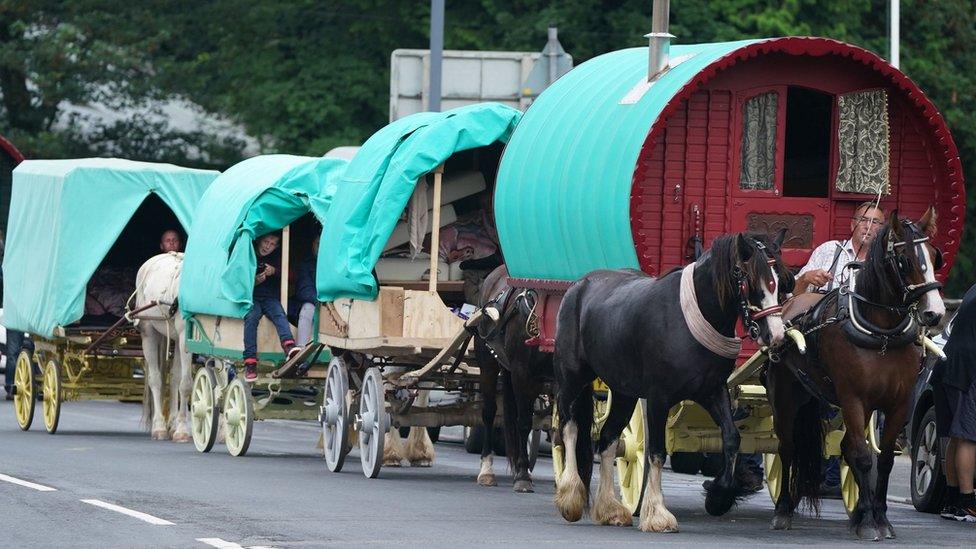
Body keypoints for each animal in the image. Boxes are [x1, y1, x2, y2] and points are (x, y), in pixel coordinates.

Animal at [134, 253, 193, 440]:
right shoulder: (185, 339)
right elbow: (186, 385)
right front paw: (182, 431)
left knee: (174, 378)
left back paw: (172, 424)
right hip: (149, 332)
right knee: (156, 379)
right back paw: (159, 427)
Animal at [470, 266, 552, 492]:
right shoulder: (522, 373)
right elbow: (523, 422)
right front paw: (523, 475)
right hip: (488, 365)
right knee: (489, 412)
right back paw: (487, 469)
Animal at [548, 229, 792, 528]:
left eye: (782, 281)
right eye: (748, 277)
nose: (776, 335)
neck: (688, 319)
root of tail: (580, 285)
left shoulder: (712, 391)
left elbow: (731, 437)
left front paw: (719, 495)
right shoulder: (658, 397)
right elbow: (656, 451)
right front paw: (657, 514)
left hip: (624, 391)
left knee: (608, 440)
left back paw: (609, 509)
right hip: (572, 378)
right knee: (568, 429)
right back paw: (571, 495)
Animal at [772, 207, 944, 540]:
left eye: (934, 256)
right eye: (905, 260)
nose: (935, 313)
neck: (881, 333)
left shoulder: (898, 403)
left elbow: (882, 459)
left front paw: (879, 517)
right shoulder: (852, 398)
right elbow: (863, 457)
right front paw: (867, 523)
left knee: (845, 448)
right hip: (785, 397)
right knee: (787, 448)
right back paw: (783, 509)